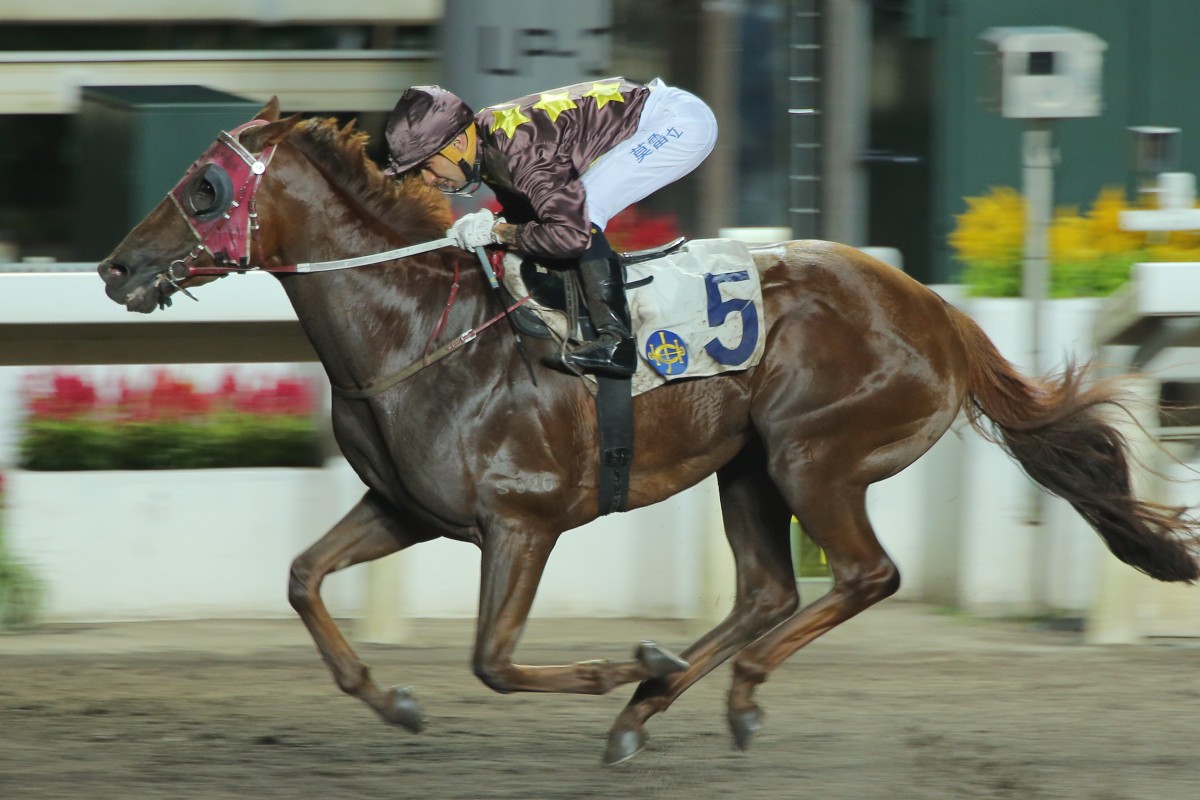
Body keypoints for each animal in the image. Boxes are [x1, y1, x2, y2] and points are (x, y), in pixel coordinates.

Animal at [96, 98, 1200, 762]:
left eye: (202, 186)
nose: (115, 266)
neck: (419, 329)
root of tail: (939, 314)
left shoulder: (524, 521)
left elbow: (493, 659)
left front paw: (624, 665)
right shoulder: (408, 507)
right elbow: (302, 577)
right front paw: (392, 698)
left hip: (814, 455)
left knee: (863, 575)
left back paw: (720, 691)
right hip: (747, 467)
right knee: (767, 591)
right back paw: (649, 712)